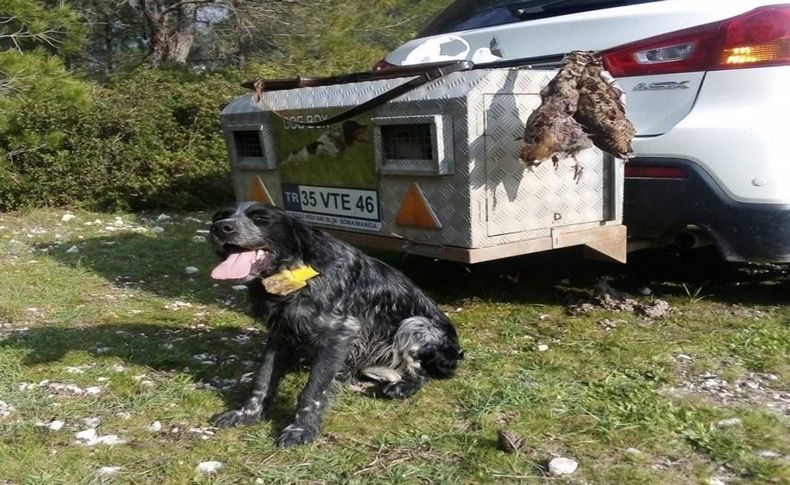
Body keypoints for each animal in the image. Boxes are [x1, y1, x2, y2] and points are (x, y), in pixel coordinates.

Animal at [207, 201, 464, 446]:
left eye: (261, 219)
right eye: (220, 216)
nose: (220, 228)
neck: (295, 273)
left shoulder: (339, 334)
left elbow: (313, 390)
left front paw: (302, 428)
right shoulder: (281, 333)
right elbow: (262, 380)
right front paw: (246, 414)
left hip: (415, 324)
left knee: (421, 372)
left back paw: (402, 387)